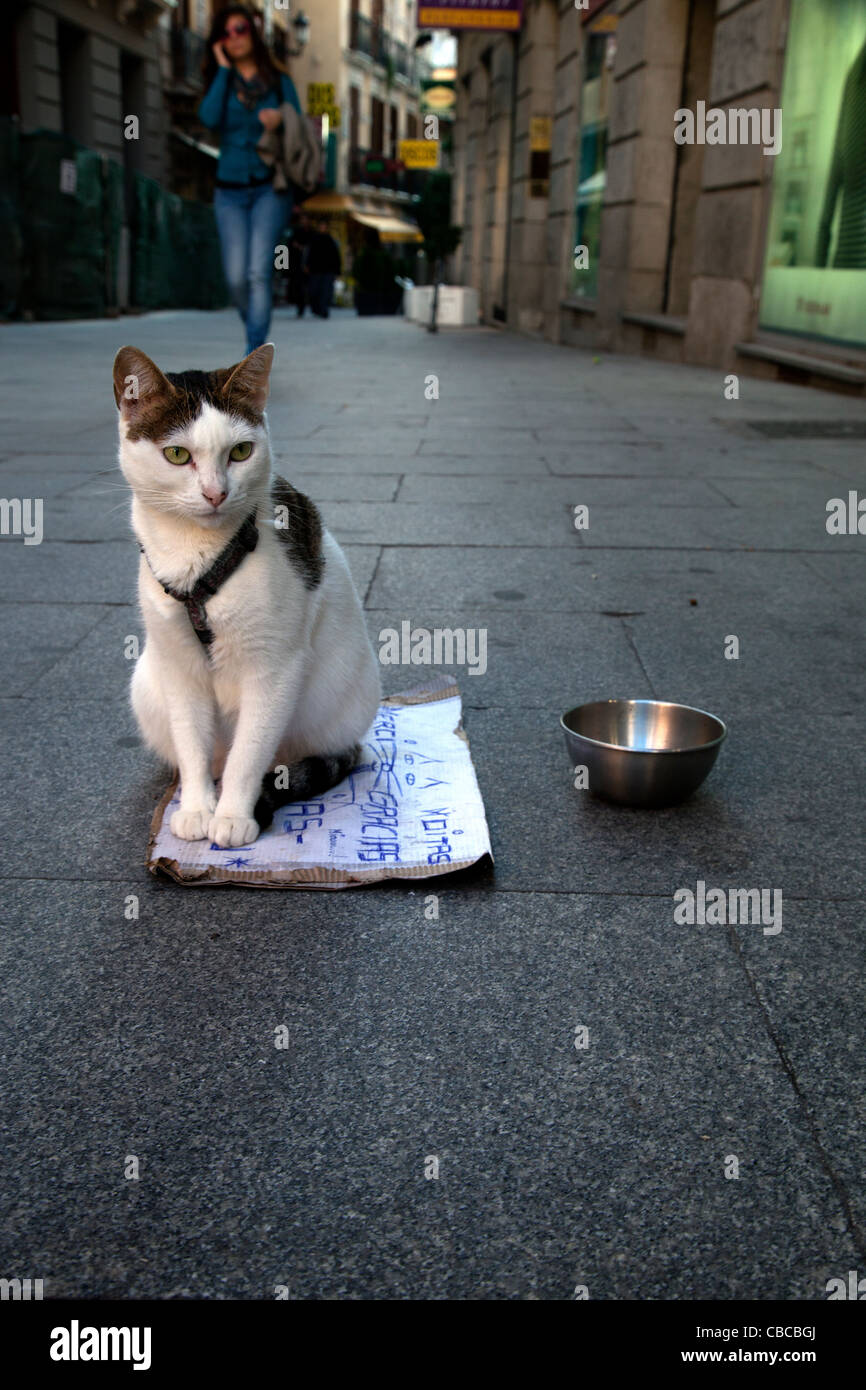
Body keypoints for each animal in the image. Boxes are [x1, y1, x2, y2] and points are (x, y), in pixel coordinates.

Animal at [113, 344, 380, 845]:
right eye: (176, 454)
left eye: (240, 452)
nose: (216, 493)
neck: (197, 556)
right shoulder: (178, 664)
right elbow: (191, 742)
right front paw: (197, 808)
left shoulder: (274, 667)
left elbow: (249, 752)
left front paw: (233, 816)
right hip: (147, 682)